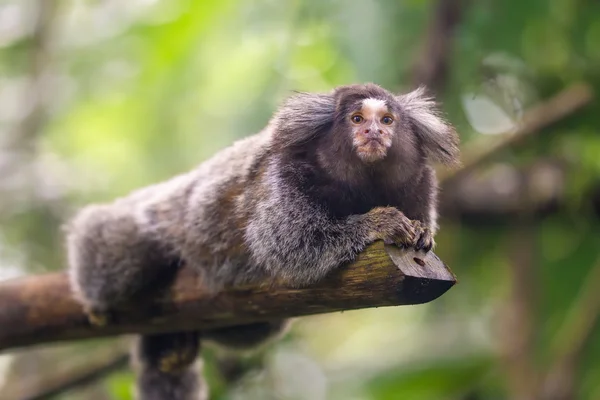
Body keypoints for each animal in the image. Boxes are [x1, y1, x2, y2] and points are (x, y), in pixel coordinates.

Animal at [67, 82, 460, 400]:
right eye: (357, 119)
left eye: (388, 120)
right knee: (115, 252)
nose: (374, 132)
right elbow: (290, 244)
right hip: (151, 222)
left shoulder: (418, 184)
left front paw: (421, 232)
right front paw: (379, 222)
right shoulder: (281, 178)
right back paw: (96, 295)